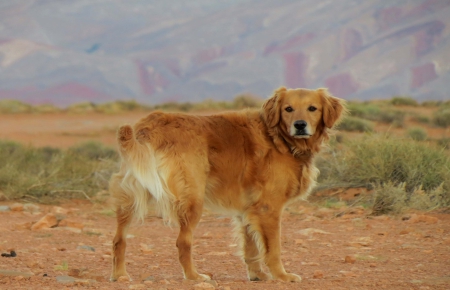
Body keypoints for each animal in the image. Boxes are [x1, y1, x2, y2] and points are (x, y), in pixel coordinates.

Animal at [110, 86, 348, 280]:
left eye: (312, 108)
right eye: (288, 109)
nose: (300, 125)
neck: (278, 138)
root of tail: (148, 126)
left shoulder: (248, 211)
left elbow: (251, 248)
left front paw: (257, 276)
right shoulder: (268, 209)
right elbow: (273, 249)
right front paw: (282, 276)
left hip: (129, 198)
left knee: (119, 239)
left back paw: (120, 275)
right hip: (192, 200)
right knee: (183, 242)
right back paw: (194, 277)